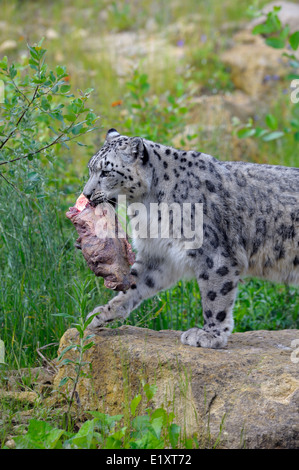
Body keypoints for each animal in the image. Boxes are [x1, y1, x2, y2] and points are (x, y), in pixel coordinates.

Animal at [83, 129, 299, 348]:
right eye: (91, 169)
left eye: (106, 172)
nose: (86, 194)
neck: (146, 206)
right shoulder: (158, 253)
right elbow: (136, 283)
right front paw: (102, 314)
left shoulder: (211, 254)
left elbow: (214, 295)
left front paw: (210, 334)